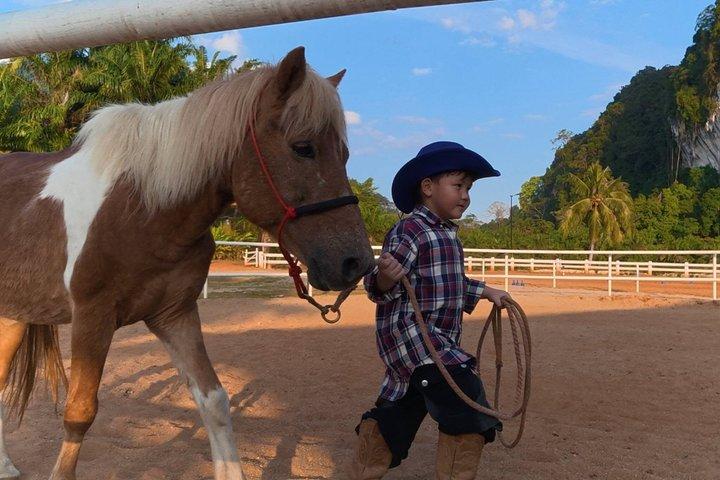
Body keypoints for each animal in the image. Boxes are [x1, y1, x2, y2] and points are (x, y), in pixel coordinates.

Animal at [0, 46, 374, 480]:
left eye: (344, 154)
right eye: (303, 147)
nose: (357, 262)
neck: (144, 206)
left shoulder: (174, 315)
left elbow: (214, 401)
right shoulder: (93, 317)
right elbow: (79, 412)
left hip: (14, 316)